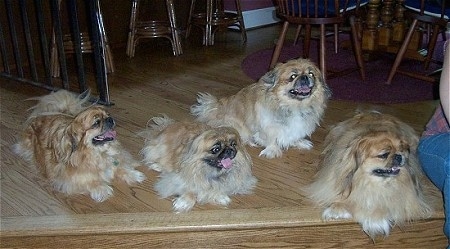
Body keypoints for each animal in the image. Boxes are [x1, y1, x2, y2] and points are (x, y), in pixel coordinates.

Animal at [13, 89, 146, 202]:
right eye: (96, 123)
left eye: (107, 115)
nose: (110, 119)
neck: (99, 153)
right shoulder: (68, 179)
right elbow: (88, 180)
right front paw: (101, 188)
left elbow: (121, 167)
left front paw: (133, 174)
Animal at [190, 58, 330, 158]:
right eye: (293, 77)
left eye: (311, 74)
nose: (305, 77)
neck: (294, 106)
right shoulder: (269, 127)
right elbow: (272, 139)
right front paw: (272, 150)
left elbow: (293, 135)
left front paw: (300, 142)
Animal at [306, 111, 432, 239]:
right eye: (384, 155)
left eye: (401, 150)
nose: (399, 156)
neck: (368, 182)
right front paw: (336, 208)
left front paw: (376, 219)